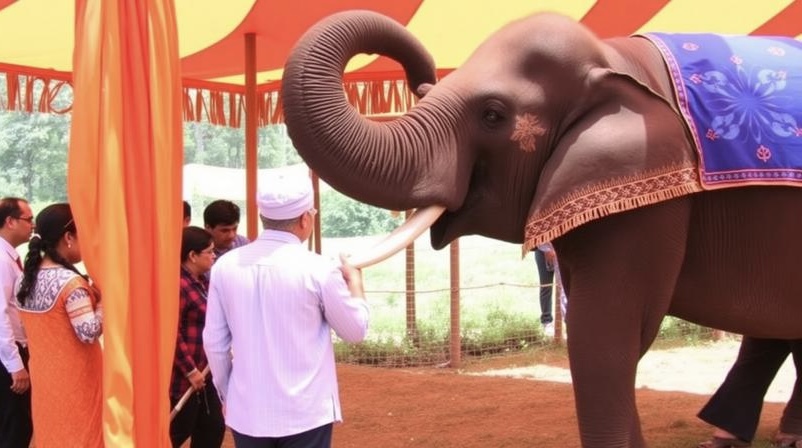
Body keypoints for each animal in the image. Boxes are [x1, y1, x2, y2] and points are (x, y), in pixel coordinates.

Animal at [280, 10, 802, 448]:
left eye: (493, 114)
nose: (421, 77)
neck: (616, 60)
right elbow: (609, 337)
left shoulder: (649, 194)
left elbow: (605, 338)